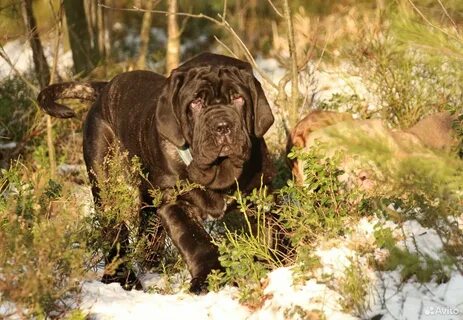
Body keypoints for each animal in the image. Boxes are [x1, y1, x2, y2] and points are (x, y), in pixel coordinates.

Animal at [38, 52, 276, 292]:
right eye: (196, 102)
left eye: (238, 98)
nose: (222, 126)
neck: (218, 172)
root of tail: (106, 88)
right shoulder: (173, 202)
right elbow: (196, 240)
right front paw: (209, 278)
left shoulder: (262, 192)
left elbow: (272, 228)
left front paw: (278, 260)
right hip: (107, 184)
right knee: (115, 233)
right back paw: (122, 279)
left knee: (149, 232)